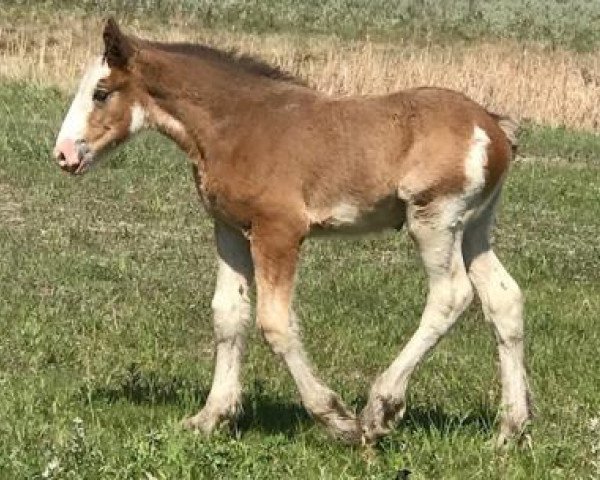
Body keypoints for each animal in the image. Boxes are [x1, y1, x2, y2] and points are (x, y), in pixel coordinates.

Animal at [51, 19, 528, 446]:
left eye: (100, 93)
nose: (63, 155)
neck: (237, 124)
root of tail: (492, 126)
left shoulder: (278, 231)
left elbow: (276, 323)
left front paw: (337, 420)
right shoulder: (229, 228)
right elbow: (228, 315)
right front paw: (210, 417)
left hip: (434, 220)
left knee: (451, 295)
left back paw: (380, 409)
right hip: (473, 228)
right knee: (504, 298)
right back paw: (510, 431)